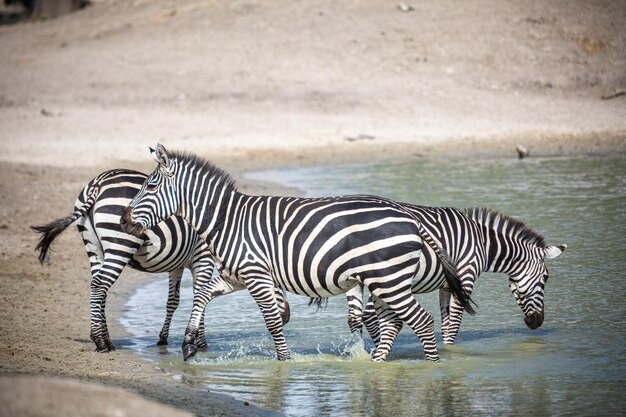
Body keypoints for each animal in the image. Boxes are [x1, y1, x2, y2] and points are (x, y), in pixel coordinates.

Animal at [31, 167, 290, 356]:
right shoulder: (203, 258)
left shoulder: (177, 263)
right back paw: (101, 341)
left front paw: (165, 338)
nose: (287, 318)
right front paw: (200, 342)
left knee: (98, 287)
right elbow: (200, 295)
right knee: (100, 285)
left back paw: (103, 338)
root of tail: (98, 183)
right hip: (119, 243)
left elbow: (173, 301)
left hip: (93, 246)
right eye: (275, 280)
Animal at [120, 144, 472, 360]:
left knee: (422, 322)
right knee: (396, 323)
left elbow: (273, 322)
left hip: (389, 280)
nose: (123, 220)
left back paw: (432, 371)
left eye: (151, 186)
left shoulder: (256, 275)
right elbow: (203, 295)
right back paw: (378, 363)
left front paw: (284, 361)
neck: (227, 220)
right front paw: (189, 342)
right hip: (384, 280)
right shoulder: (239, 275)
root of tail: (409, 215)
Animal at [344, 203, 564, 352]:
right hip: (388, 279)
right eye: (546, 278)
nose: (537, 322)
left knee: (357, 318)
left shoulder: (447, 286)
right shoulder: (465, 277)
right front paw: (452, 353)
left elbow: (446, 321)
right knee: (367, 316)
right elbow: (454, 324)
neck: (483, 244)